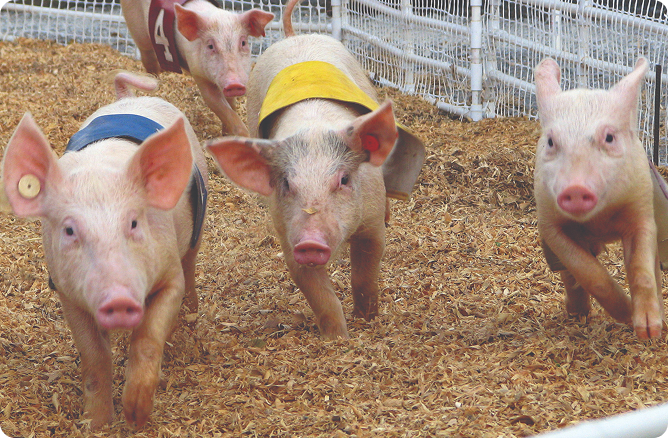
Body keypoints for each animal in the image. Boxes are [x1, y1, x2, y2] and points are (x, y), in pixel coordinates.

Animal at [1, 71, 208, 429]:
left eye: (134, 223)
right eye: (69, 230)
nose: (119, 298)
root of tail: (129, 99)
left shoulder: (168, 273)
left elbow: (148, 338)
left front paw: (136, 416)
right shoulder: (67, 291)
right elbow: (94, 356)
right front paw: (96, 424)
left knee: (191, 265)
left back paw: (190, 314)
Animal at [120, 0, 275, 136]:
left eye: (243, 42)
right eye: (210, 46)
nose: (234, 83)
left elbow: (231, 105)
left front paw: (225, 133)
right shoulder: (198, 74)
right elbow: (215, 102)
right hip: (138, 31)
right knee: (149, 59)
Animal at [205, 1, 426, 339]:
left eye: (344, 179)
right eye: (286, 184)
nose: (311, 242)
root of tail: (293, 36)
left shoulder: (371, 223)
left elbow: (365, 273)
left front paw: (367, 320)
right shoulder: (287, 235)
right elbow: (318, 294)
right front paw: (337, 338)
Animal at [534, 57, 664, 339]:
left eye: (609, 137)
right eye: (550, 142)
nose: (575, 187)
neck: (600, 222)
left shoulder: (641, 210)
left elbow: (641, 270)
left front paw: (648, 331)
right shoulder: (550, 223)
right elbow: (588, 273)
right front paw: (626, 316)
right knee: (569, 275)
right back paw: (576, 313)